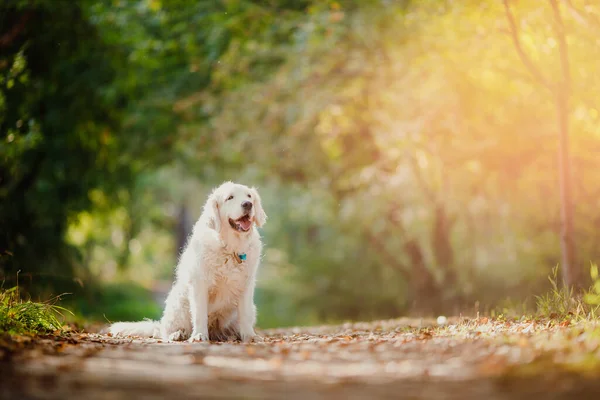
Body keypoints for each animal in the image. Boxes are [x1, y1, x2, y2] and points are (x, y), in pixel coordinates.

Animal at [108, 181, 268, 340]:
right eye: (230, 197)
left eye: (249, 196)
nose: (248, 204)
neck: (230, 249)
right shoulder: (200, 282)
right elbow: (199, 313)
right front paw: (199, 335)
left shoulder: (246, 285)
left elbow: (245, 314)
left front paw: (250, 336)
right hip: (179, 304)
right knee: (166, 331)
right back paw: (178, 334)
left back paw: (231, 336)